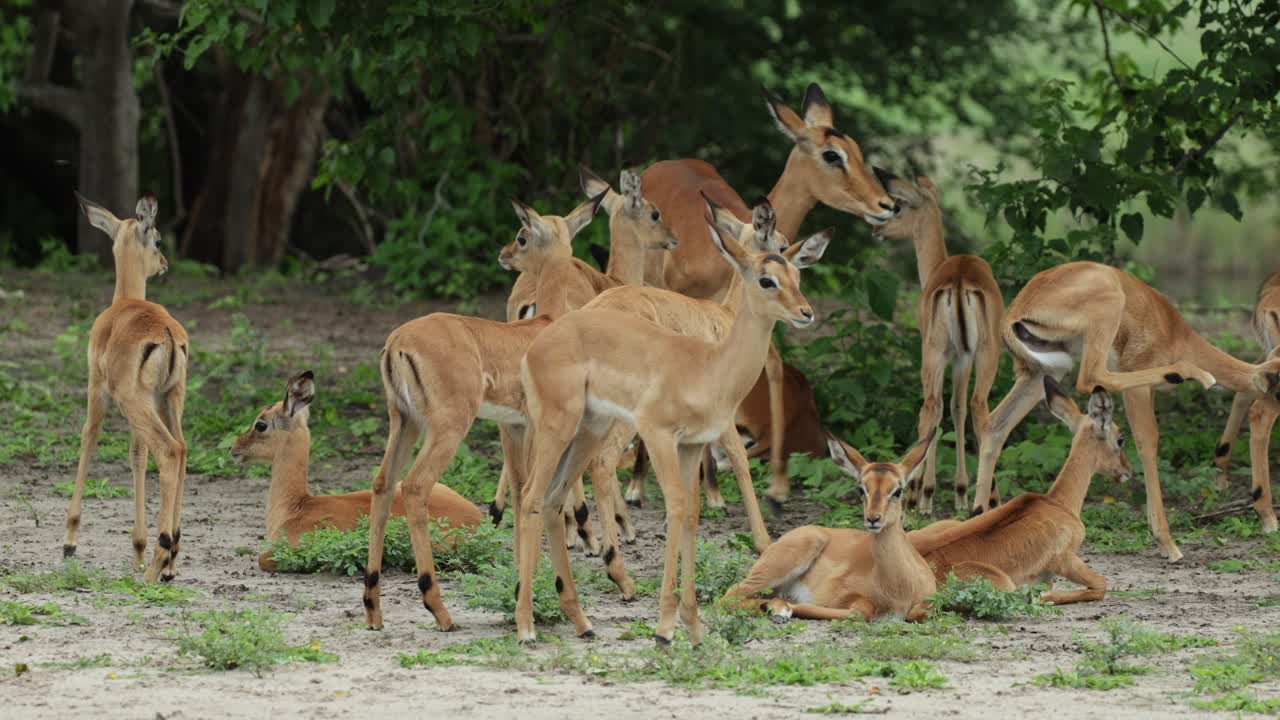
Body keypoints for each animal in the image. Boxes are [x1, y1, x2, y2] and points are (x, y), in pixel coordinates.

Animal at [64, 193, 189, 583]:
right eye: (159, 241)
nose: (163, 263)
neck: (123, 304)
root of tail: (167, 333)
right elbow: (137, 457)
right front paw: (137, 549)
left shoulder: (97, 391)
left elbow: (88, 439)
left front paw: (69, 541)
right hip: (167, 402)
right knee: (182, 449)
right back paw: (169, 562)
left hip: (136, 403)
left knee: (170, 451)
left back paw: (157, 562)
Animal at [513, 222, 815, 645]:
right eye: (766, 279)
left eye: (797, 276)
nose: (806, 313)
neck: (708, 366)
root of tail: (536, 345)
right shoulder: (659, 437)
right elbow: (675, 505)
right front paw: (664, 629)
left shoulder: (692, 446)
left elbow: (691, 513)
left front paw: (693, 627)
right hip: (558, 429)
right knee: (531, 497)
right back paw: (526, 626)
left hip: (586, 433)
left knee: (555, 500)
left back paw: (583, 622)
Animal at [721, 434, 935, 623]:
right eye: (861, 488)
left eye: (898, 490)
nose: (873, 519)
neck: (899, 588)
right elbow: (860, 611)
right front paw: (780, 607)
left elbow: (917, 612)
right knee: (729, 595)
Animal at [871, 170, 1003, 513]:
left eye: (899, 206)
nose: (877, 229)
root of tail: (958, 280)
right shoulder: (963, 357)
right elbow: (957, 408)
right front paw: (960, 491)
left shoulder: (943, 355)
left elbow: (939, 410)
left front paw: (924, 493)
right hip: (985, 354)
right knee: (978, 408)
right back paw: (988, 499)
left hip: (935, 354)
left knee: (931, 407)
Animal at [909, 379, 1132, 605]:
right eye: (1120, 438)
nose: (1128, 471)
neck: (1060, 503)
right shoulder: (1065, 559)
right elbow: (1101, 584)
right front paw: (1042, 595)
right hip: (1002, 583)